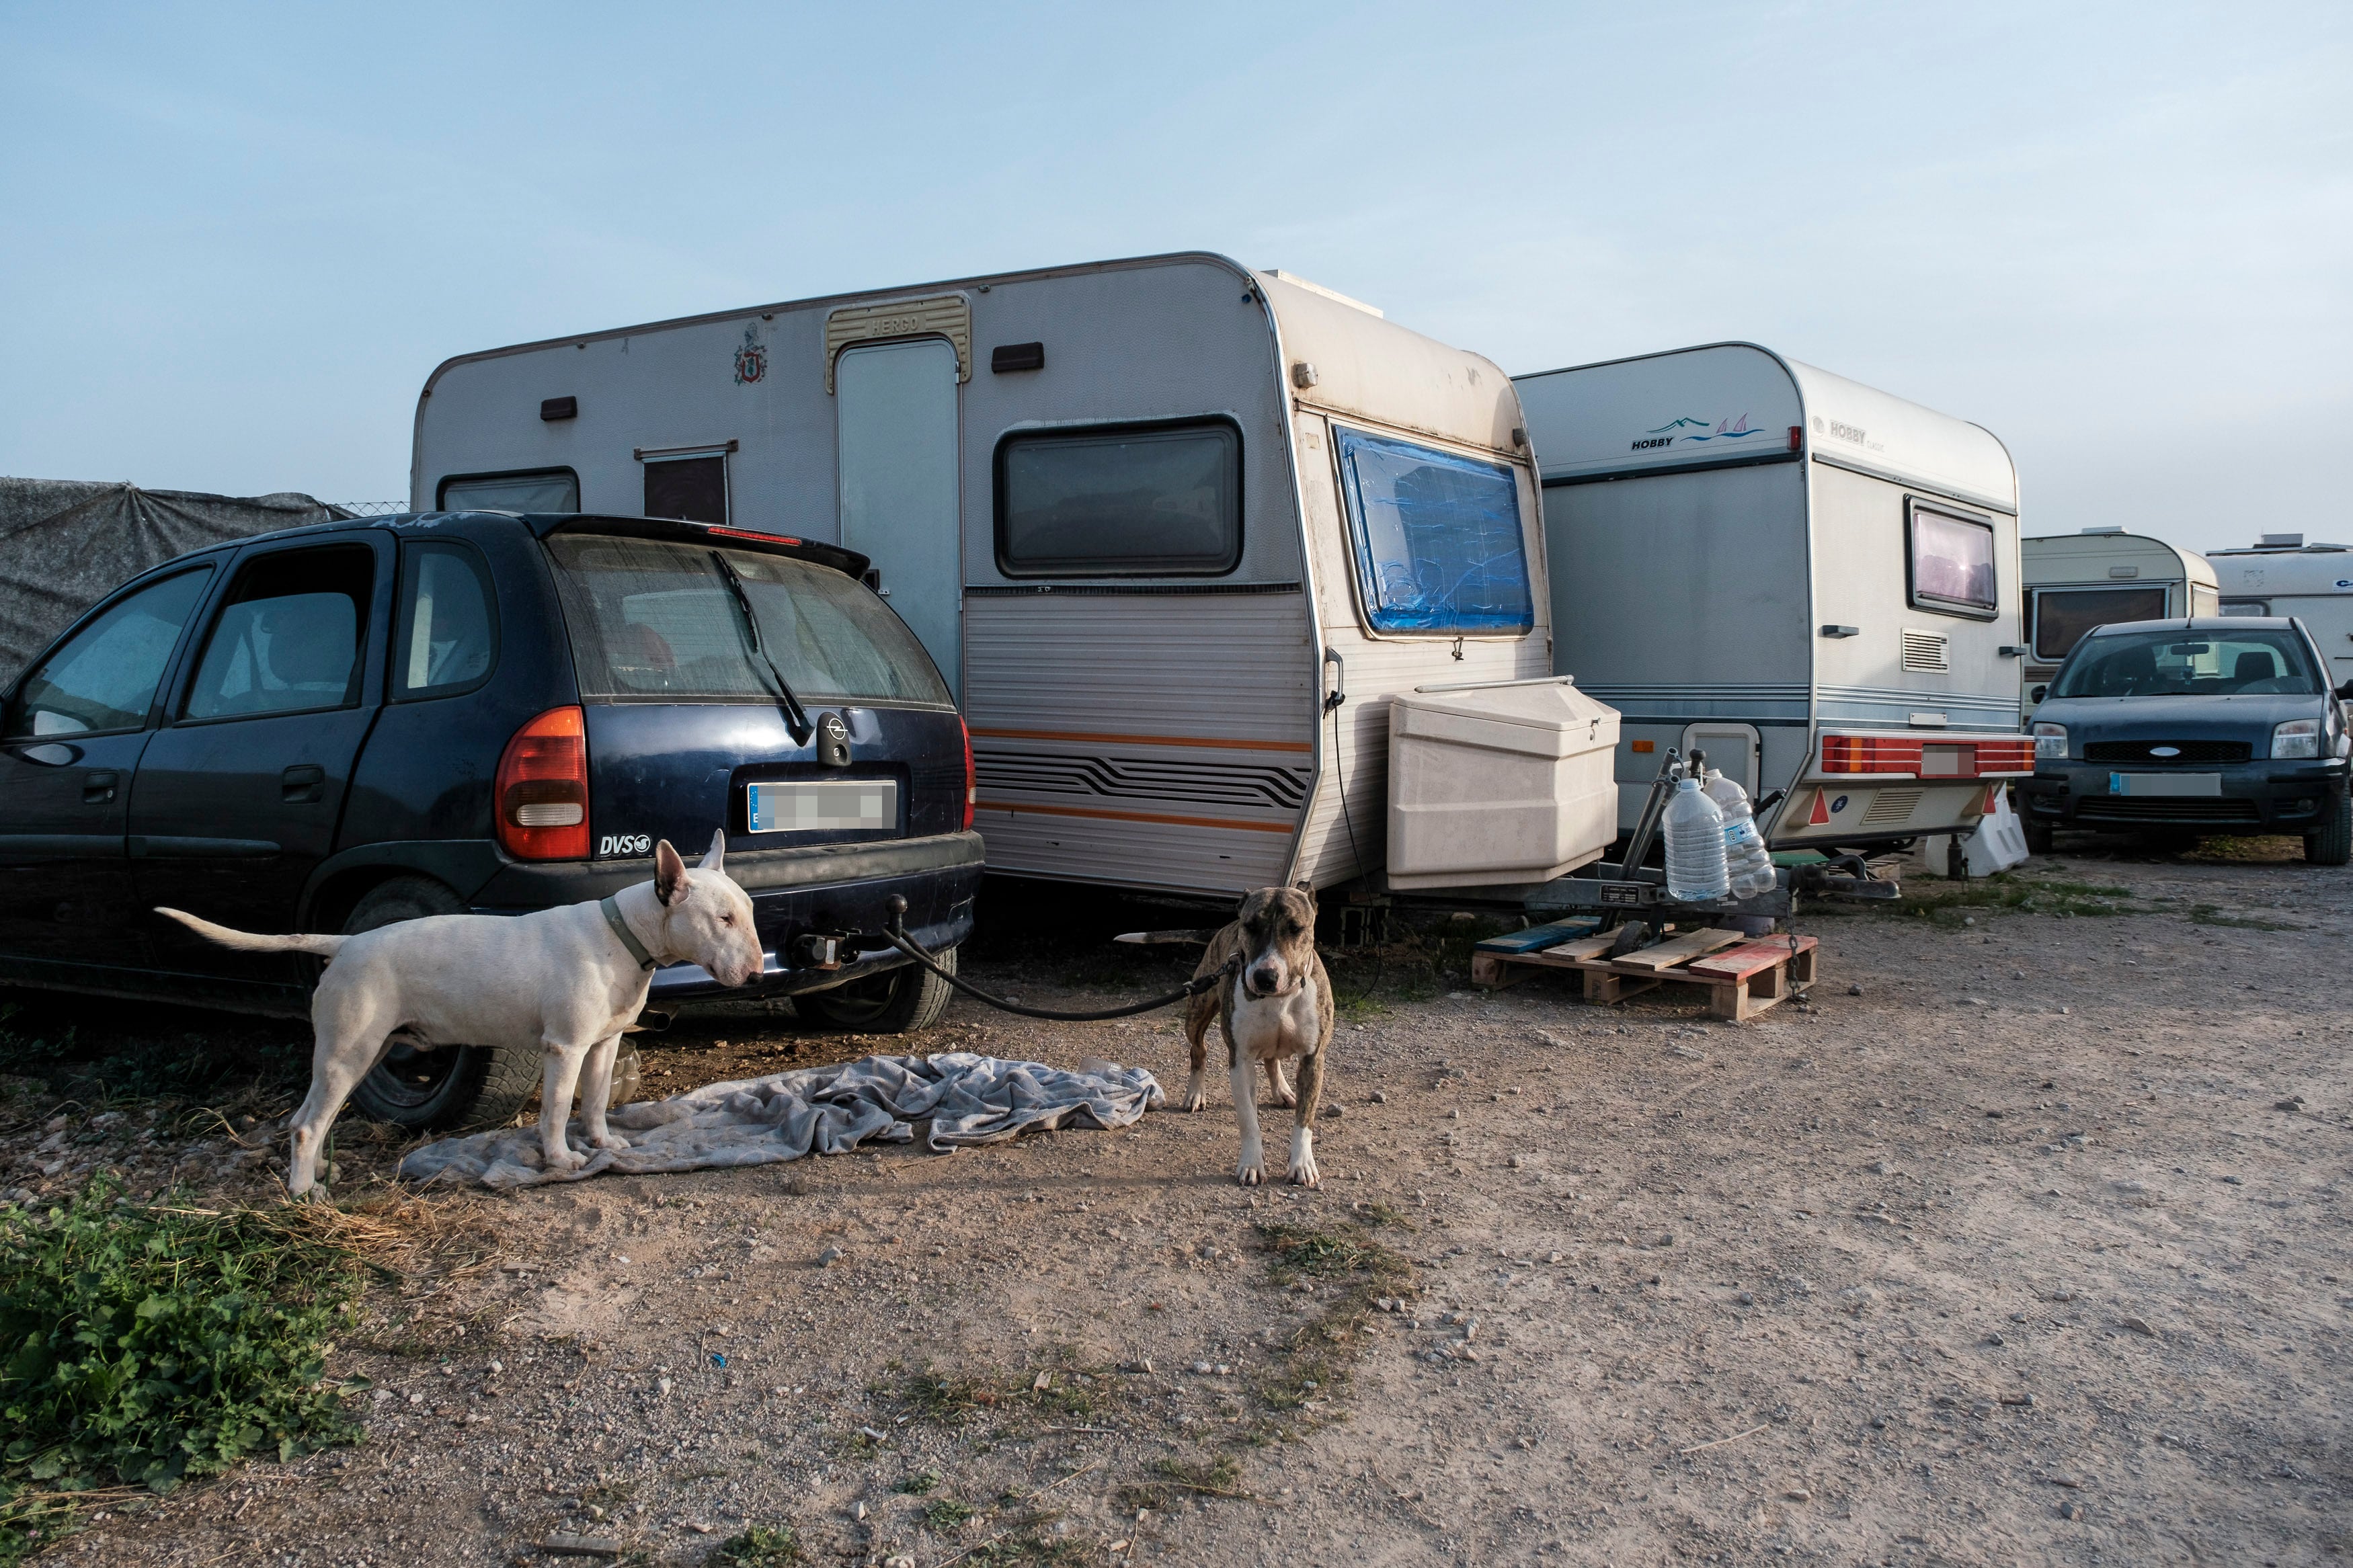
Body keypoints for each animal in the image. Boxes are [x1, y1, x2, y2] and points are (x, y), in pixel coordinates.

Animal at [156, 832, 758, 1203]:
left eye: (748, 912)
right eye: (722, 919)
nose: (754, 971)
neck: (624, 932)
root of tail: (346, 944)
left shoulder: (603, 1043)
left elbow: (596, 1101)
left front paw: (605, 1144)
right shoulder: (563, 1047)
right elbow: (556, 1110)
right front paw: (561, 1158)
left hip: (365, 1048)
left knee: (305, 1117)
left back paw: (317, 1172)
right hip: (348, 1050)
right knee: (306, 1123)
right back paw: (306, 1192)